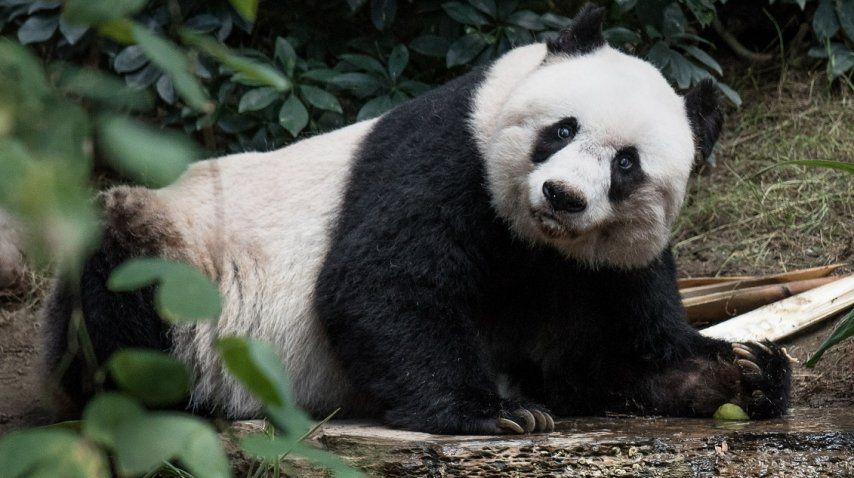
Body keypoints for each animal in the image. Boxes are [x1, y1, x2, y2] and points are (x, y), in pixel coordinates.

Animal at [45, 5, 791, 434]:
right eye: (561, 129)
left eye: (627, 165)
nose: (563, 196)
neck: (536, 241)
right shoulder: (446, 156)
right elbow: (384, 282)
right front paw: (497, 412)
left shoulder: (604, 262)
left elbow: (610, 350)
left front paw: (745, 372)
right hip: (178, 249)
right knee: (121, 285)